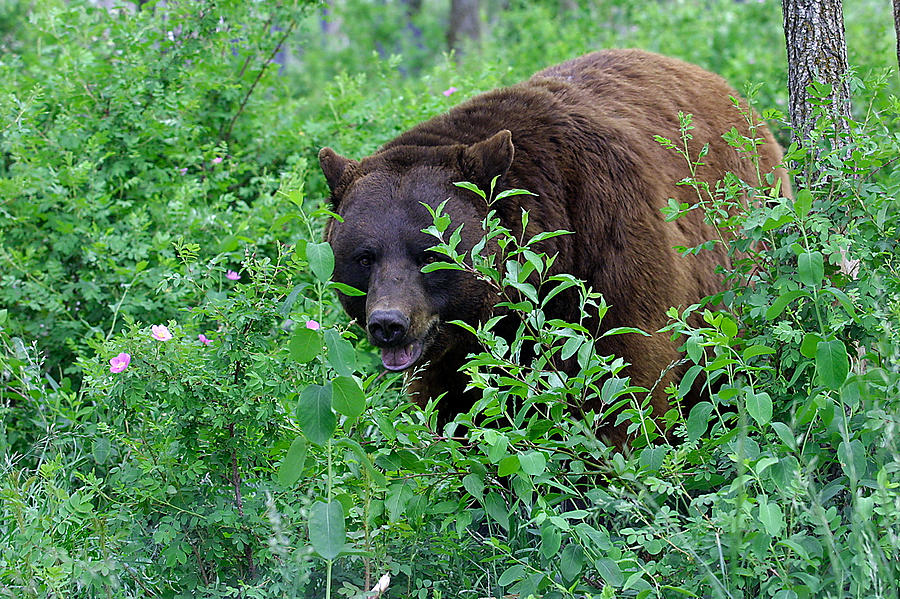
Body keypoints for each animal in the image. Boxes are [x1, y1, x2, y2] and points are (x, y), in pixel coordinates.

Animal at [320, 49, 784, 440]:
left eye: (429, 255)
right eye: (365, 257)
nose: (388, 324)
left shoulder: (606, 236)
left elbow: (625, 377)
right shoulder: (452, 351)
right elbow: (460, 408)